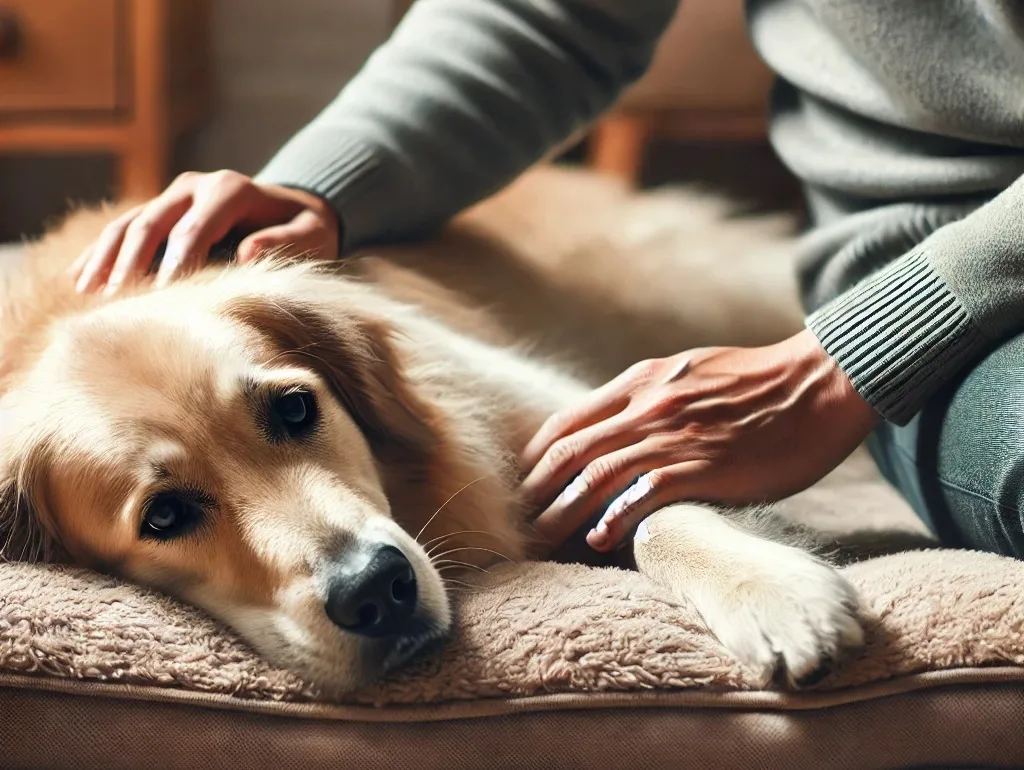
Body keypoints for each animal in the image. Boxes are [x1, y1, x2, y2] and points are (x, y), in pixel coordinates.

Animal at [0, 166, 864, 692]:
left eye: (294, 409)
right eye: (164, 516)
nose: (376, 592)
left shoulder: (556, 419)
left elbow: (652, 502)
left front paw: (768, 588)